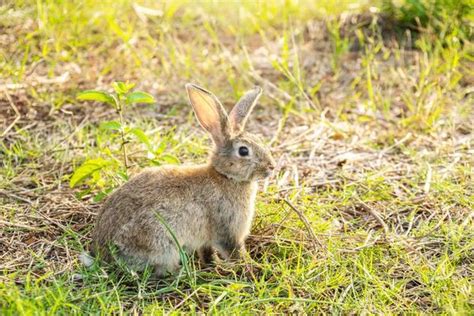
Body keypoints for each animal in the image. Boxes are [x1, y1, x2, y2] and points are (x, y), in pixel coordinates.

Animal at [87, 84, 276, 276]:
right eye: (243, 151)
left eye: (259, 140)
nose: (272, 166)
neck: (225, 176)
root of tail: (101, 255)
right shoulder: (227, 228)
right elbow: (235, 252)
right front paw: (250, 267)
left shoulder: (207, 239)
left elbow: (207, 252)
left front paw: (214, 265)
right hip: (161, 243)